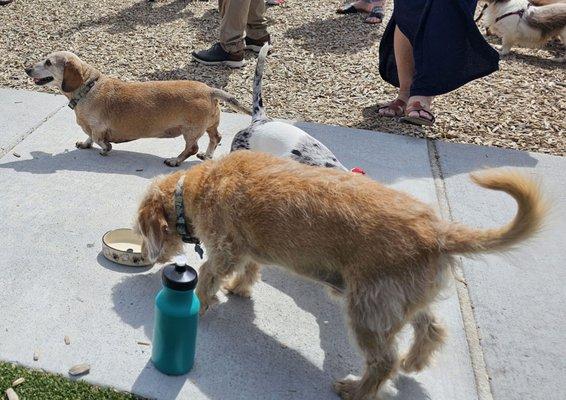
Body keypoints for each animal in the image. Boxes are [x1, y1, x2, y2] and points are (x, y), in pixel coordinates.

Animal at [24, 51, 251, 166]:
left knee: (191, 148)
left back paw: (175, 160)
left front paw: (105, 148)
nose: (26, 68)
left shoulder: (99, 127)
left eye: (48, 62)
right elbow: (89, 136)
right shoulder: (90, 126)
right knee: (215, 138)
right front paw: (85, 143)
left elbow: (99, 138)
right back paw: (207, 156)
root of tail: (210, 90)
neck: (88, 87)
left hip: (190, 130)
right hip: (210, 125)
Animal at [133, 150, 544, 400]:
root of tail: (439, 232)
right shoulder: (249, 248)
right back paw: (415, 362)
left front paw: (202, 301)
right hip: (400, 299)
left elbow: (207, 276)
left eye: (140, 229)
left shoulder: (224, 249)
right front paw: (240, 288)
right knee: (431, 328)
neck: (197, 187)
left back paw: (358, 390)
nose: (145, 256)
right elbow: (250, 270)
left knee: (383, 361)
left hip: (367, 307)